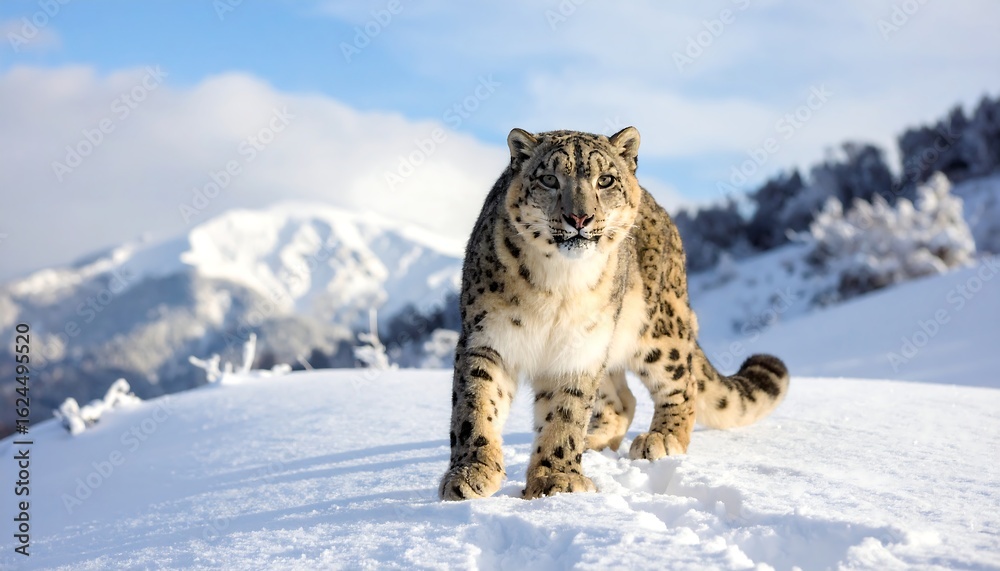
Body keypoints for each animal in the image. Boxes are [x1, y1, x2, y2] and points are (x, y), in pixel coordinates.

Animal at [439, 126, 789, 500]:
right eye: (549, 179)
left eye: (605, 180)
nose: (579, 218)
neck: (557, 285)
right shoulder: (487, 338)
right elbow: (475, 405)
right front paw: (471, 472)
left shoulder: (578, 349)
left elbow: (566, 413)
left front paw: (556, 478)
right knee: (623, 399)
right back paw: (594, 441)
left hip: (656, 330)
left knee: (682, 384)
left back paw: (661, 438)